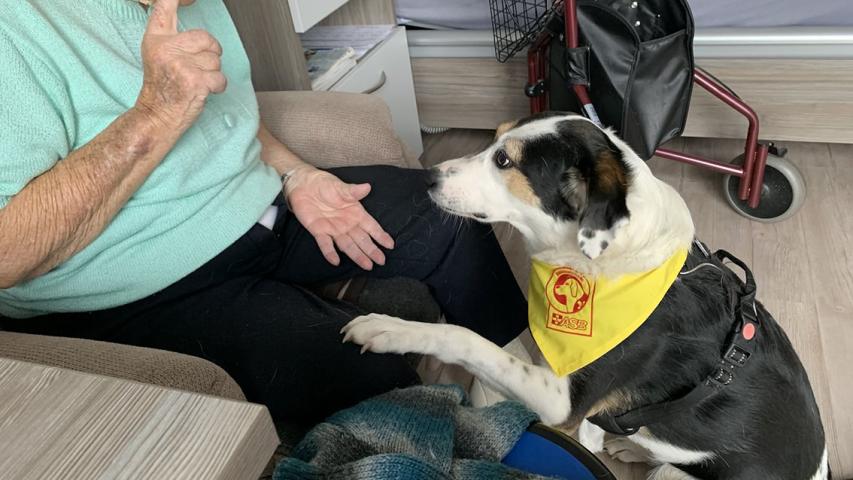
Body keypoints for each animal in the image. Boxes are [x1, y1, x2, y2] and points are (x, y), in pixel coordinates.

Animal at [342, 112, 827, 480]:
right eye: (494, 139)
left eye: (503, 160)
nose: (426, 177)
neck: (604, 261)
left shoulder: (562, 402)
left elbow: (466, 338)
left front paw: (389, 329)